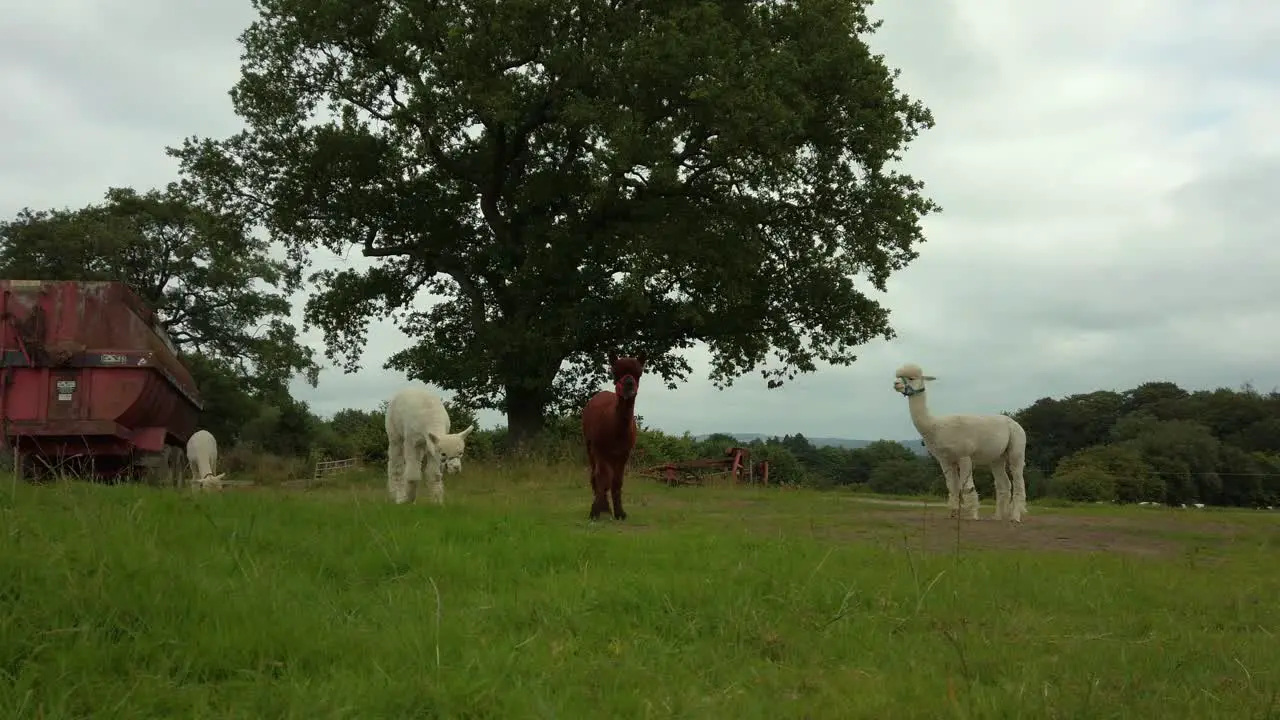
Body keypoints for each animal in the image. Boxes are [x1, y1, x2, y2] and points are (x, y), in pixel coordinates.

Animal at [901, 363, 1029, 520]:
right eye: (898, 377)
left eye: (911, 378)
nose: (896, 384)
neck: (936, 426)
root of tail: (1014, 423)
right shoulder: (945, 459)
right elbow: (952, 486)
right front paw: (953, 513)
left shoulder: (964, 455)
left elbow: (967, 487)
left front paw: (972, 515)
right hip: (997, 458)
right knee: (1003, 485)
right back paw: (998, 517)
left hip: (1017, 448)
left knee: (1018, 482)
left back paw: (1015, 517)